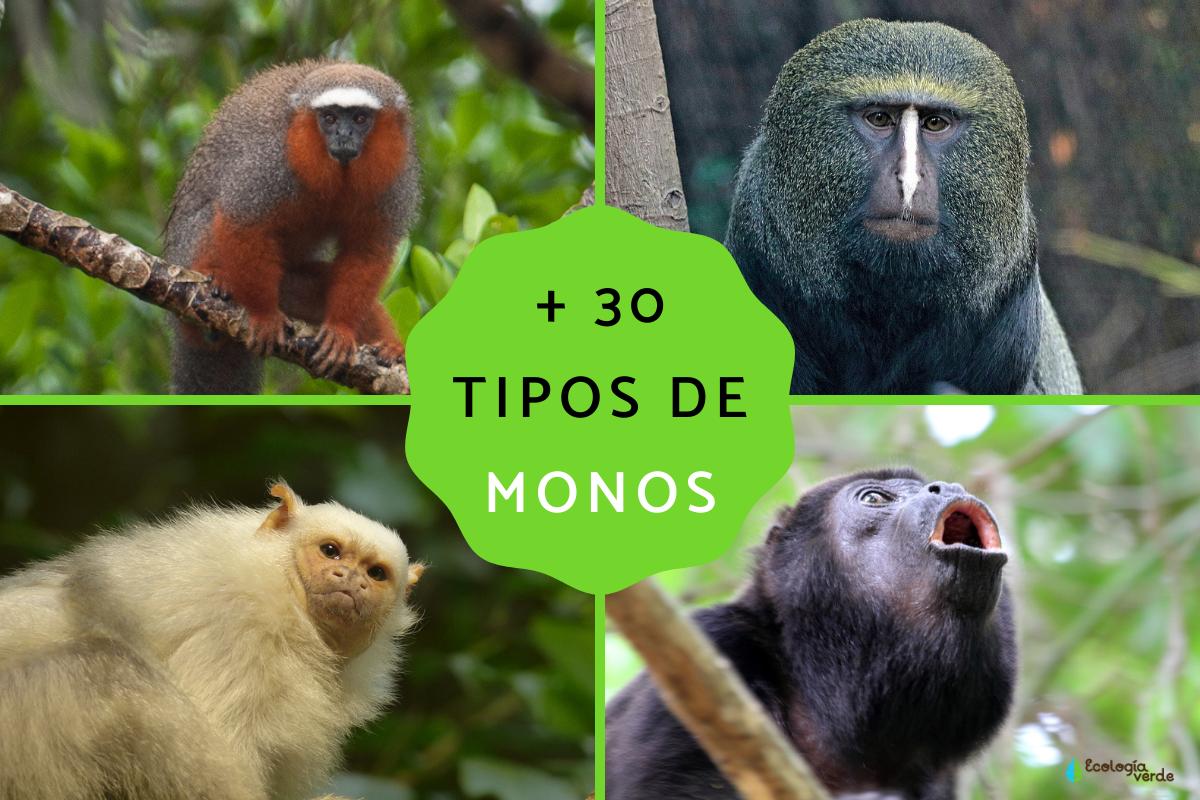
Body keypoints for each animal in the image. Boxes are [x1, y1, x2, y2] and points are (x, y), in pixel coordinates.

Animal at [0, 481, 425, 800]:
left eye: (376, 573)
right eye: (331, 551)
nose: (351, 580)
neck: (291, 594)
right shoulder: (240, 629)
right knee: (107, 666)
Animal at [166, 60, 421, 393]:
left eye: (360, 118)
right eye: (329, 118)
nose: (343, 134)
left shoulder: (396, 179)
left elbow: (367, 251)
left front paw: (341, 329)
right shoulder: (271, 160)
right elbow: (242, 219)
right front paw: (264, 316)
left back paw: (390, 349)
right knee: (212, 215)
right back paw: (217, 278)